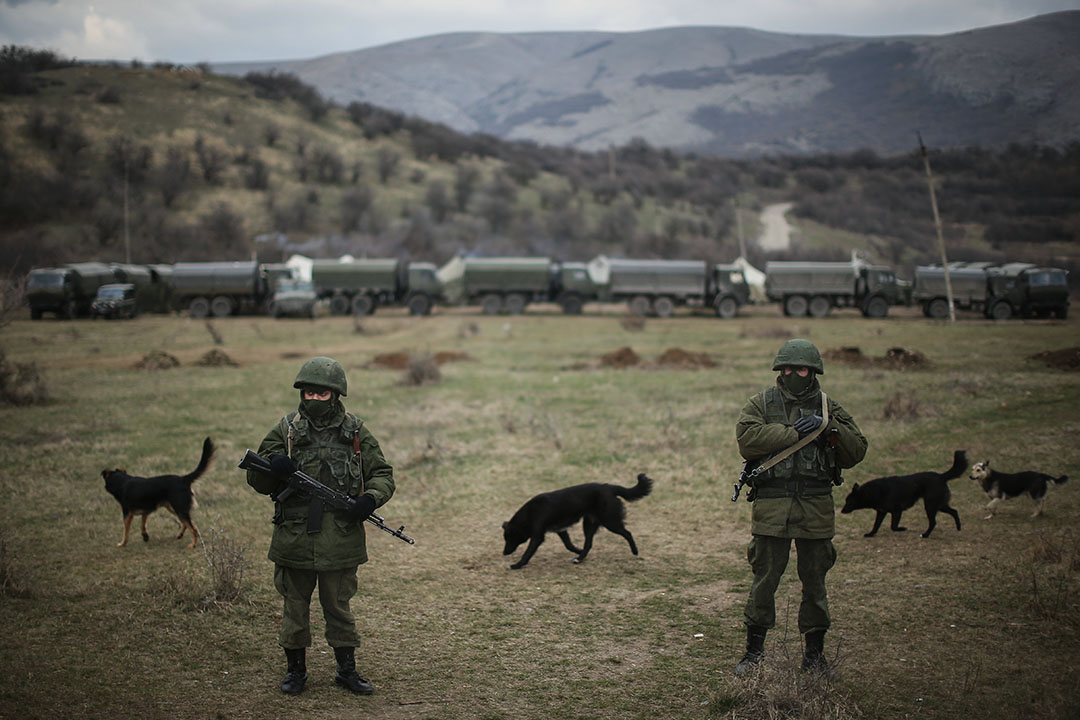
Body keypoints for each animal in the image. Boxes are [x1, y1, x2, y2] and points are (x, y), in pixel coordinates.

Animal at [503, 474, 652, 569]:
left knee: (627, 533)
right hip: (589, 524)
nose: (504, 553)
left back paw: (635, 551)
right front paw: (577, 550)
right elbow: (568, 545)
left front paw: (516, 565)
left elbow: (527, 553)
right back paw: (579, 558)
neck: (531, 512)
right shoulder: (561, 530)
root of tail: (610, 487)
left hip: (610, 521)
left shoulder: (538, 537)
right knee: (589, 544)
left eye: (509, 538)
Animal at [838, 451, 967, 539]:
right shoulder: (881, 512)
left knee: (933, 522)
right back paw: (959, 528)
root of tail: (941, 476)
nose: (841, 511)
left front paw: (902, 528)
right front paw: (870, 534)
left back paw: (925, 534)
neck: (874, 491)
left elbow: (893, 527)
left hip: (930, 506)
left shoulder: (896, 511)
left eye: (849, 501)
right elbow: (876, 525)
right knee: (954, 511)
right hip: (939, 504)